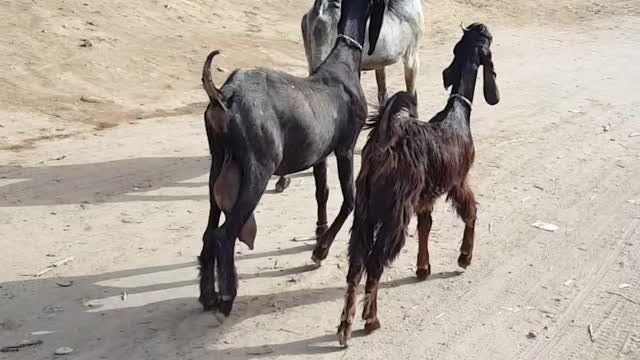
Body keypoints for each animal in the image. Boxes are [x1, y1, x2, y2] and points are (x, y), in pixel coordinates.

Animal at [200, 0, 388, 316]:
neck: (342, 64)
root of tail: (224, 97)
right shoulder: (345, 147)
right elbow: (349, 200)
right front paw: (320, 250)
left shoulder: (320, 153)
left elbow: (322, 191)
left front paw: (319, 234)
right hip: (257, 168)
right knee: (225, 234)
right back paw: (226, 297)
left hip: (218, 163)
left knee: (209, 231)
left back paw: (207, 296)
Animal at [274, 0, 420, 194]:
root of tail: (321, 11)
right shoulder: (412, 58)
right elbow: (412, 96)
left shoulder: (380, 65)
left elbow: (382, 94)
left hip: (312, 56)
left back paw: (283, 179)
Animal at [332, 23, 502, 346]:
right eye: (486, 39)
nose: (485, 28)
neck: (457, 112)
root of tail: (385, 141)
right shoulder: (458, 181)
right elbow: (471, 212)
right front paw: (464, 257)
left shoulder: (425, 197)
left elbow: (426, 226)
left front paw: (423, 268)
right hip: (395, 211)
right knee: (375, 263)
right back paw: (370, 320)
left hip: (364, 208)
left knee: (355, 264)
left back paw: (345, 325)